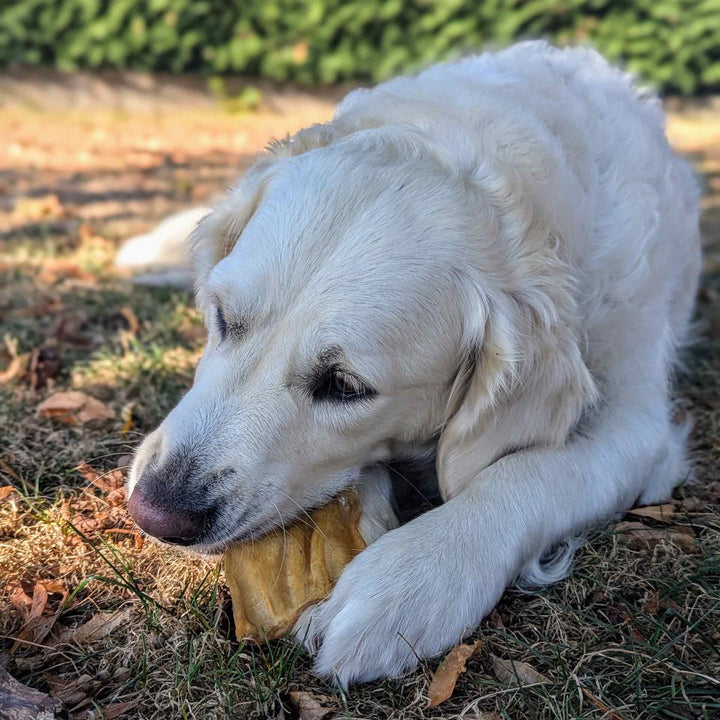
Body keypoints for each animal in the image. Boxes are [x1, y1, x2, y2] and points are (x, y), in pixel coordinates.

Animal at [126, 40, 700, 688]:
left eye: (344, 386)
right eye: (223, 317)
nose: (155, 512)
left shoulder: (639, 426)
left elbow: (527, 473)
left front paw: (410, 580)